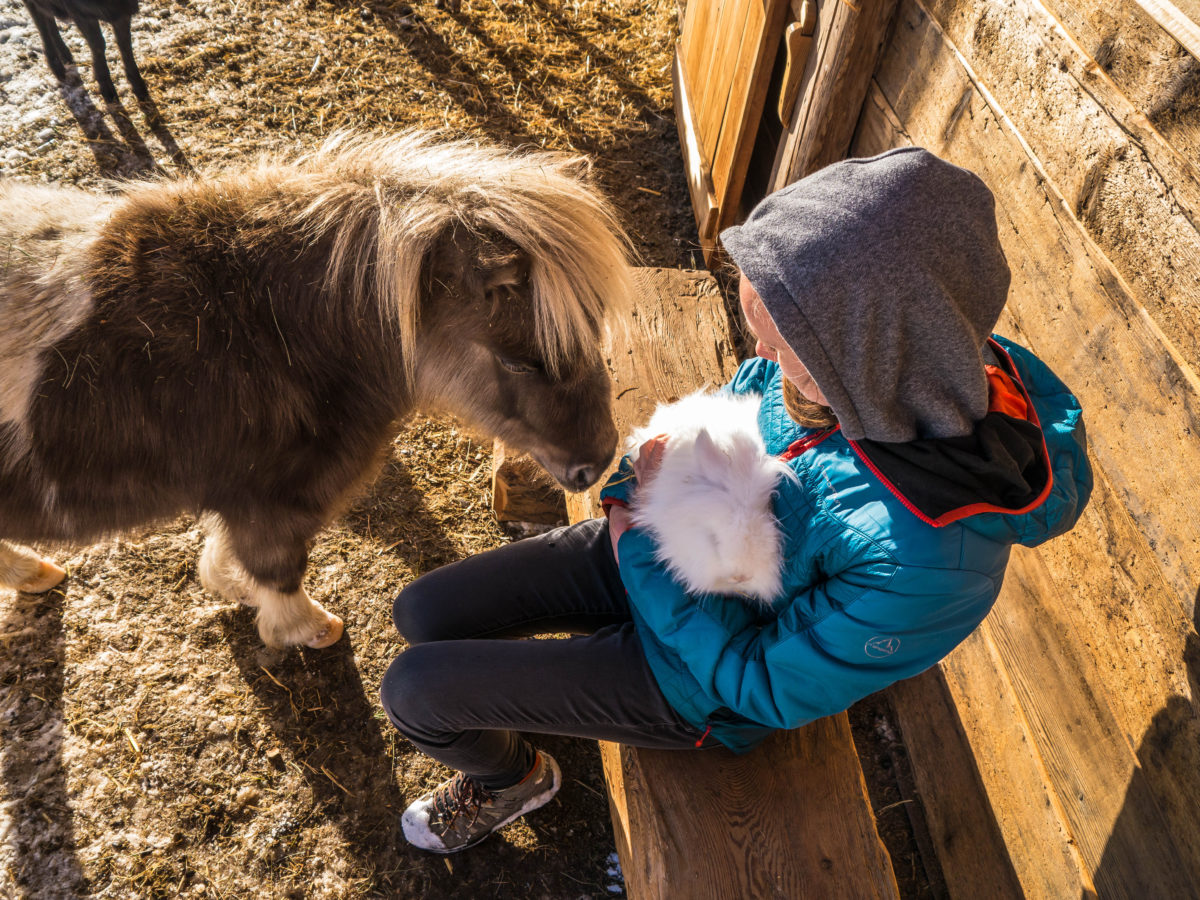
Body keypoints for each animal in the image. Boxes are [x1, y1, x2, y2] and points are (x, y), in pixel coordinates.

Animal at [0, 132, 633, 648]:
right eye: (520, 361)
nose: (595, 463)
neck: (265, 324)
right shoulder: (271, 501)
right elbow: (279, 566)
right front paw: (308, 629)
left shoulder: (247, 498)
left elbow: (229, 555)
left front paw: (233, 588)